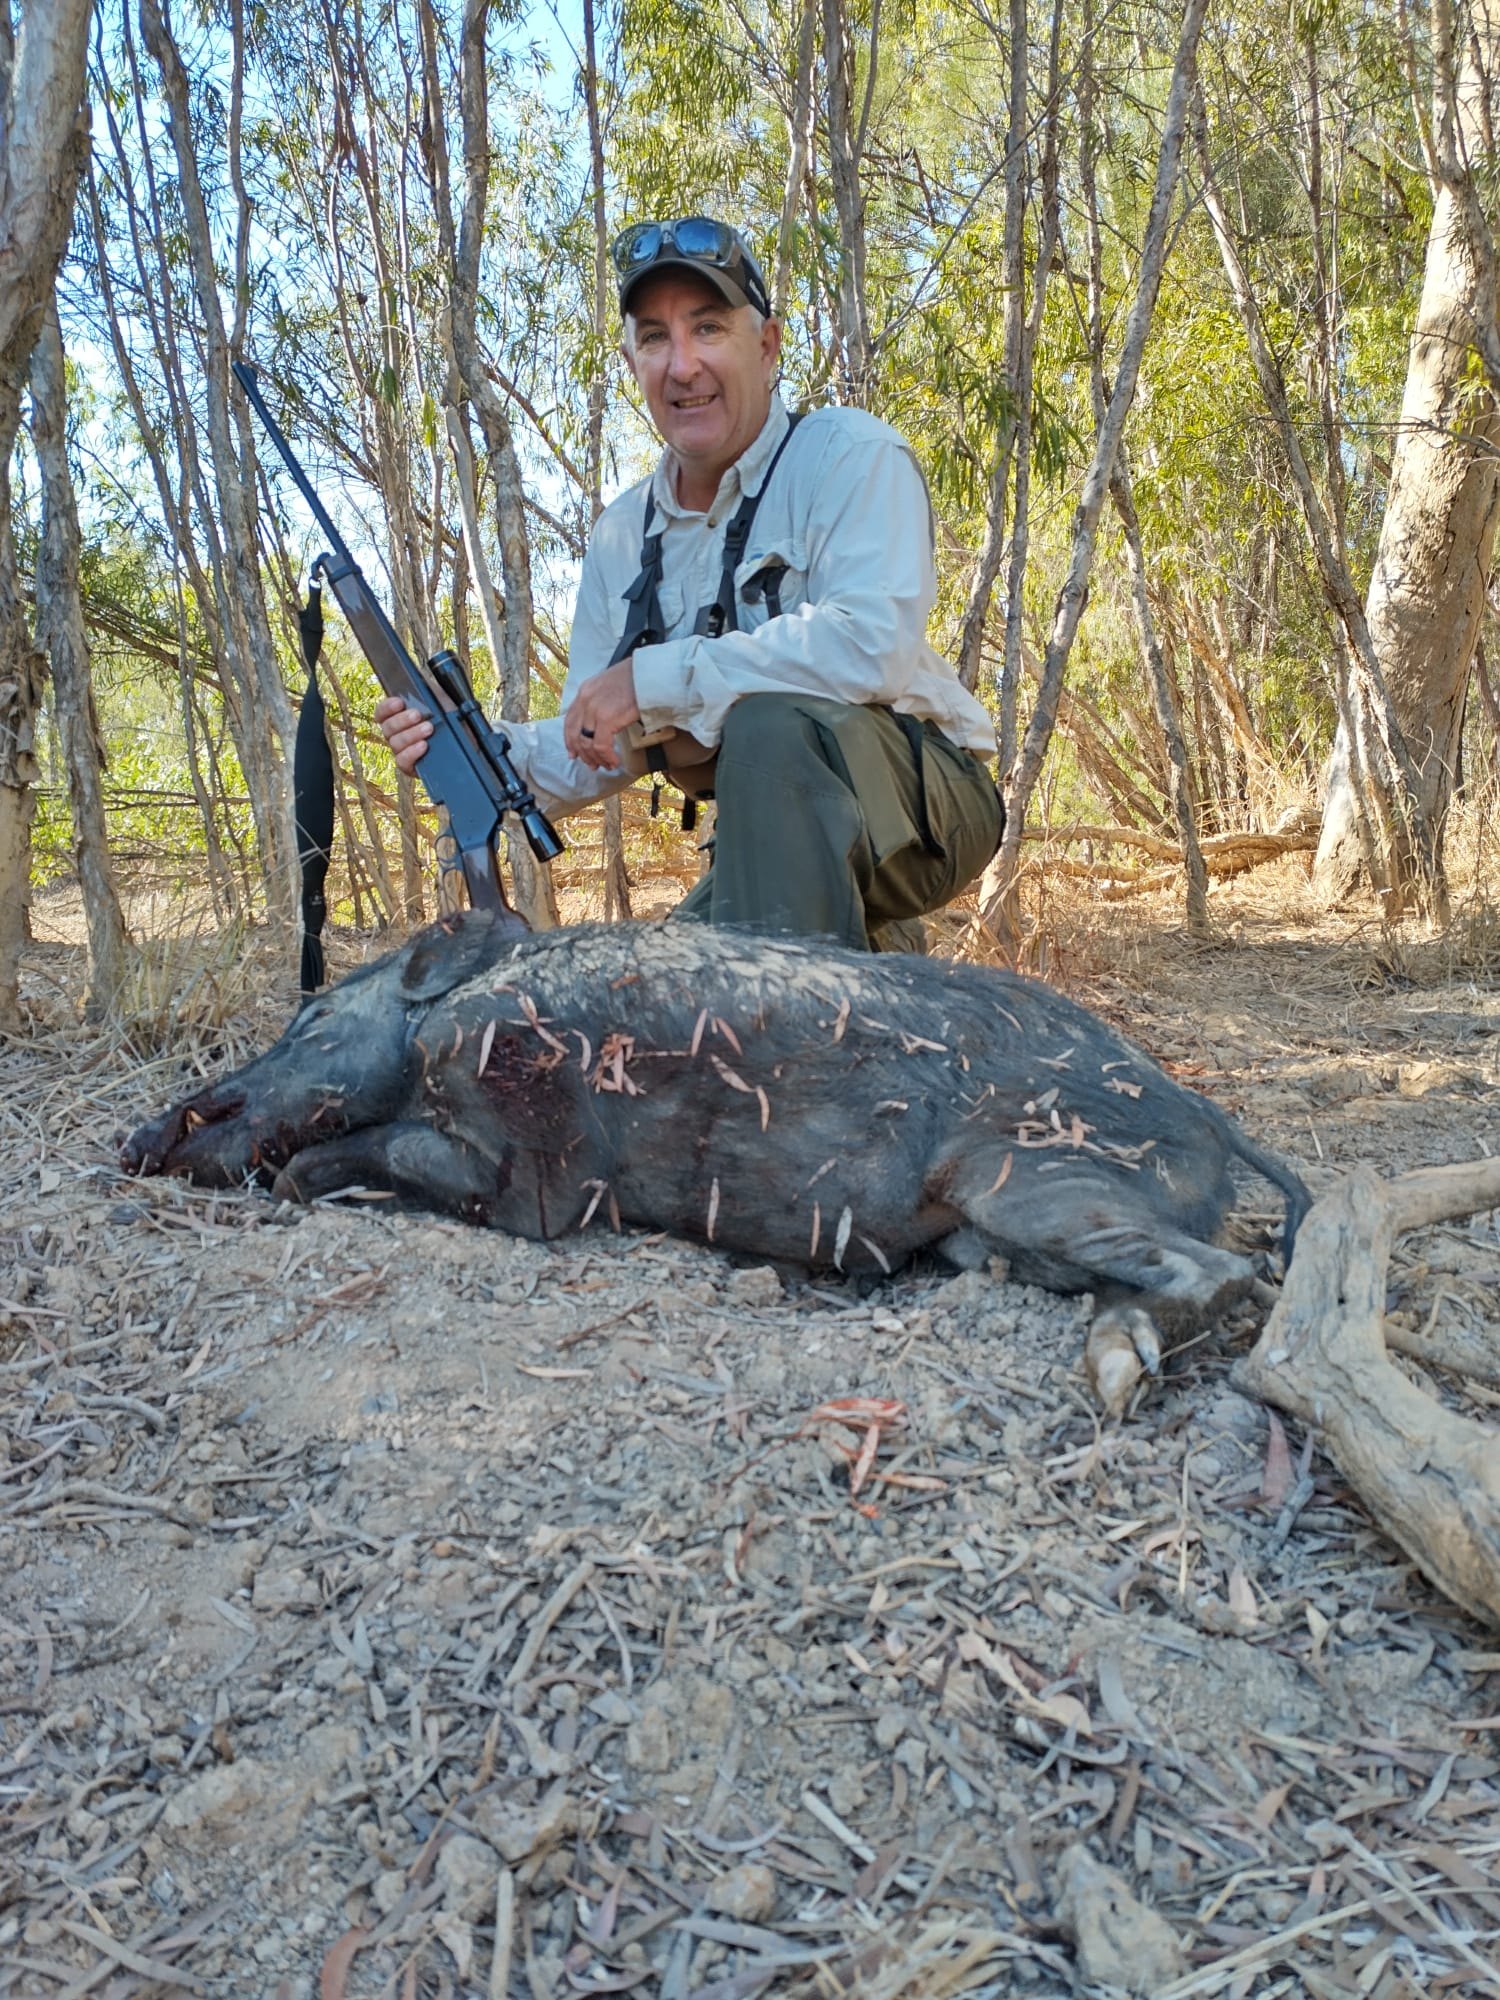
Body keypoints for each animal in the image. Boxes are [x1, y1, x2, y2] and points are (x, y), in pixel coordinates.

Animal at [123, 910, 1308, 1356]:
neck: (432, 1033)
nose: (136, 1139)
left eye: (312, 1020)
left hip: (1032, 1173)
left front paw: (300, 1176)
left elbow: (413, 1167)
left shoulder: (532, 1156)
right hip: (999, 1223)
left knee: (1229, 1271)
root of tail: (1209, 1113)